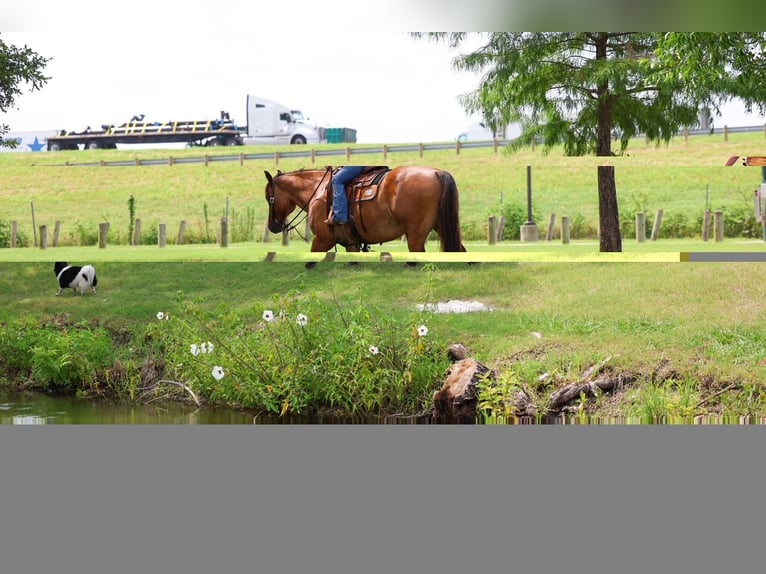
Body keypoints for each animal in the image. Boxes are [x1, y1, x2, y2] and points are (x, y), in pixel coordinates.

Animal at [263, 166, 467, 254]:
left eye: (269, 198)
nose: (273, 226)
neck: (317, 190)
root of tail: (436, 172)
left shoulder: (322, 240)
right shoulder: (351, 243)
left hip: (415, 237)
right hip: (441, 227)